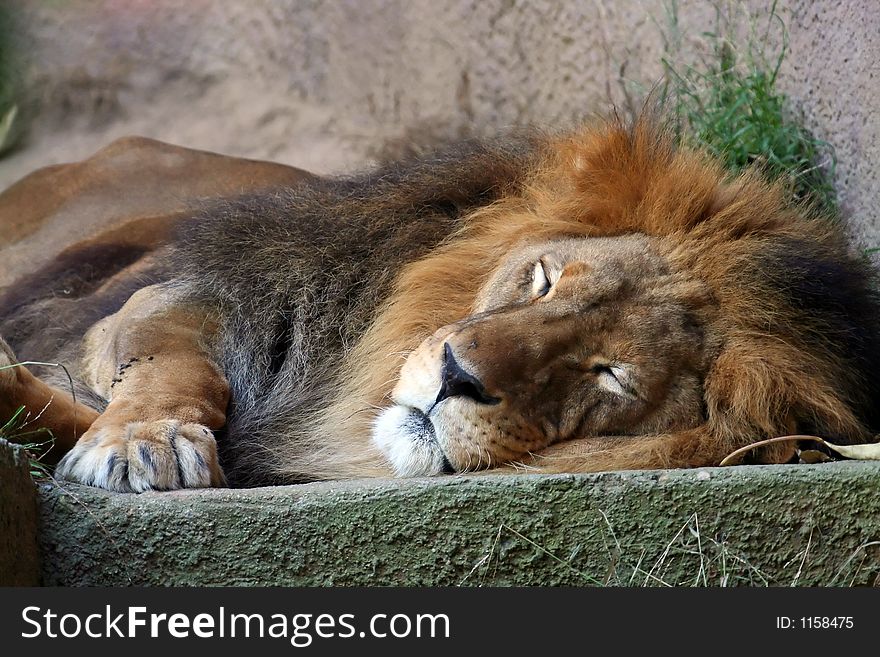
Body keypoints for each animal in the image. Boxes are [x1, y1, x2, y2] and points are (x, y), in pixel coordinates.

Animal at [1, 118, 880, 490]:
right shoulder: (190, 297)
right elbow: (170, 370)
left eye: (610, 376)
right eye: (544, 279)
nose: (456, 374)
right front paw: (143, 439)